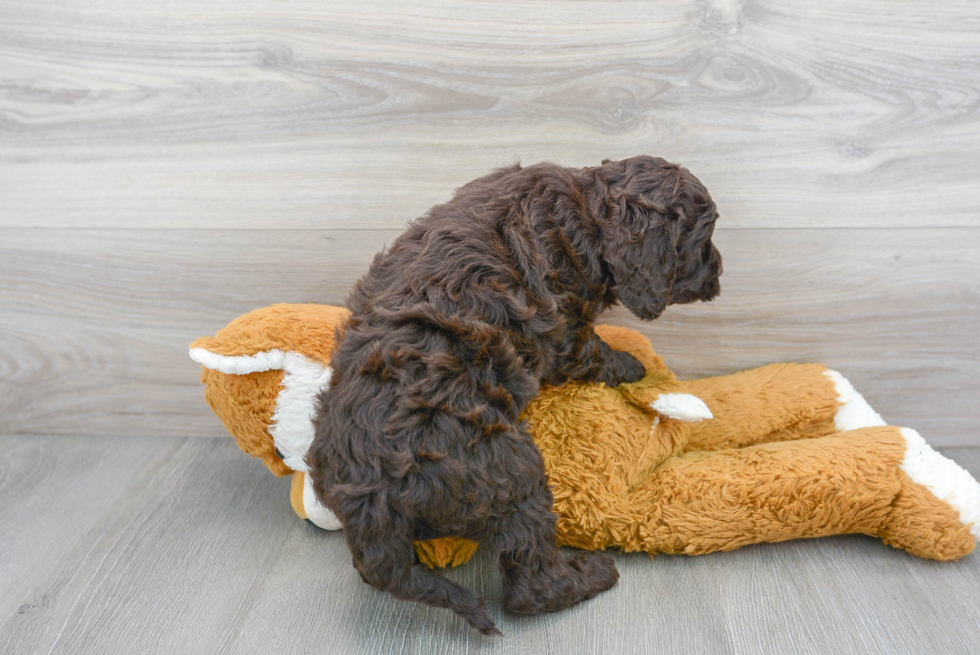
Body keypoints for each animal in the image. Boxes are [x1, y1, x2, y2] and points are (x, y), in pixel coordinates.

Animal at [310, 155, 724, 636]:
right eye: (701, 241)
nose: (719, 273)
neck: (585, 210)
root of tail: (371, 506)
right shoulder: (565, 327)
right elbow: (591, 351)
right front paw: (631, 364)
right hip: (514, 475)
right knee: (529, 585)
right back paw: (591, 575)